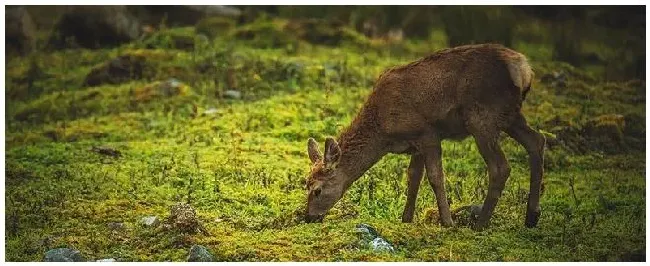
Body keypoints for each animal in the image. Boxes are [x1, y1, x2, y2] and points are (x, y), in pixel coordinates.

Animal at [302, 42, 540, 230]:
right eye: (306, 184)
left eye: (317, 190)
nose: (308, 217)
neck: (383, 132)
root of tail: (524, 68)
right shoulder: (415, 142)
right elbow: (413, 177)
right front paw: (406, 218)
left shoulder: (428, 133)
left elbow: (435, 177)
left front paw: (447, 222)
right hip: (509, 115)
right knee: (537, 141)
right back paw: (532, 217)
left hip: (482, 117)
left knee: (500, 167)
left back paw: (480, 224)